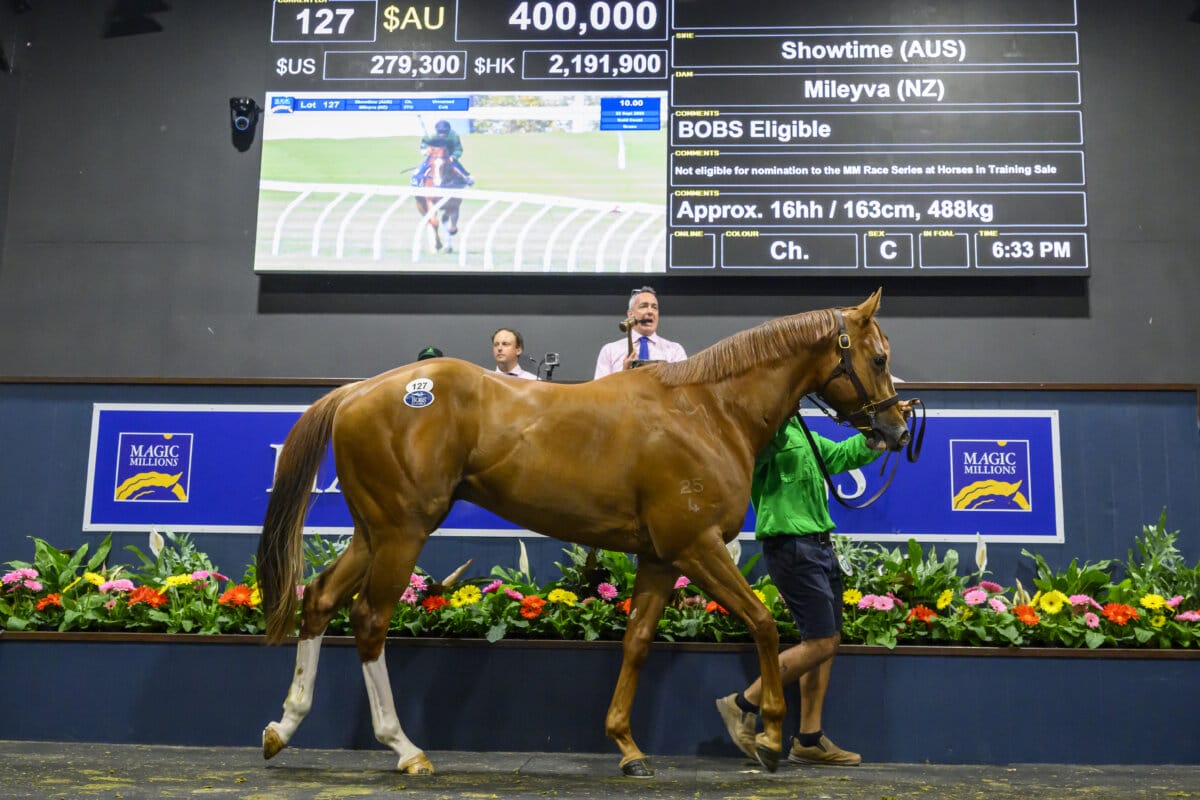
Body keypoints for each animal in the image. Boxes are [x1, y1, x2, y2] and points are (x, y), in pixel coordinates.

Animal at [256, 290, 909, 777]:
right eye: (878, 358)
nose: (898, 429)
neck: (707, 409)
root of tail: (360, 390)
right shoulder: (696, 547)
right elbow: (764, 623)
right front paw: (770, 737)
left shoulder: (659, 558)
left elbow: (638, 641)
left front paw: (627, 747)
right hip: (401, 531)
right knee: (370, 620)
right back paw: (405, 748)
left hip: (373, 530)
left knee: (320, 600)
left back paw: (282, 727)